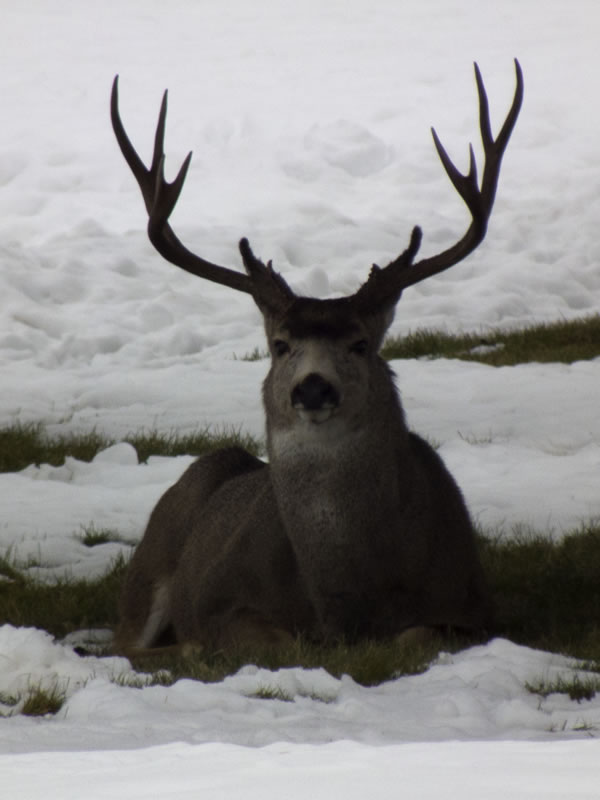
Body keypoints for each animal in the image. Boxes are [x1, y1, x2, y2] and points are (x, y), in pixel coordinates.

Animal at [111, 61, 523, 656]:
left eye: (361, 344)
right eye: (280, 345)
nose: (311, 387)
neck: (343, 601)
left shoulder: (476, 608)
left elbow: (416, 634)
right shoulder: (221, 605)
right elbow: (281, 643)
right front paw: (202, 649)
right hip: (145, 574)